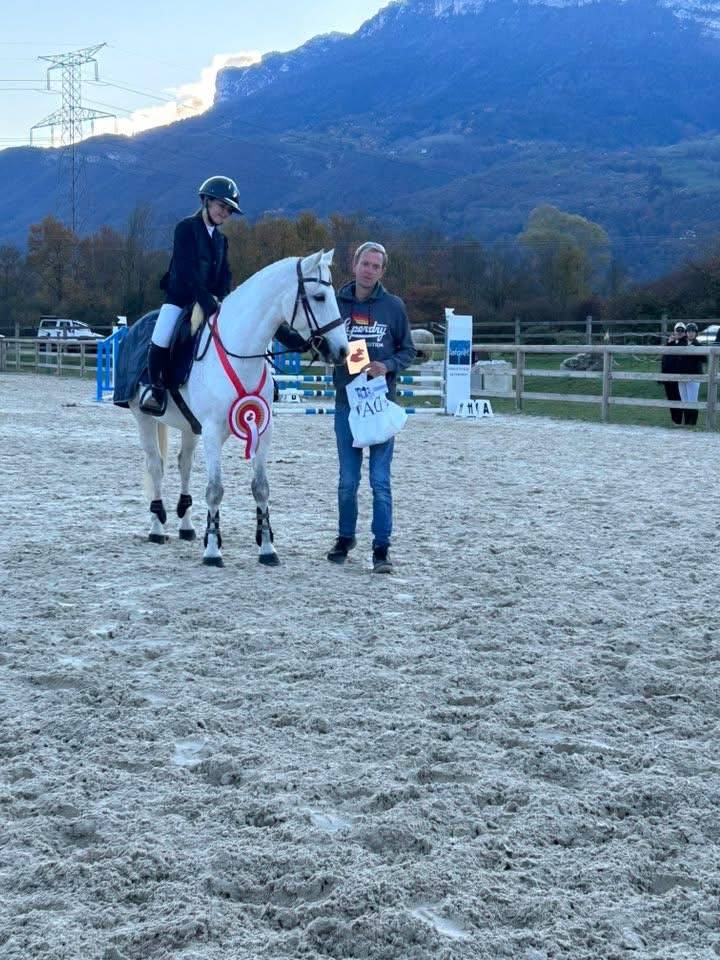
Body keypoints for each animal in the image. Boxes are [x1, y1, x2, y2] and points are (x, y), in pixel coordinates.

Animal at [124, 249, 349, 567]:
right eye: (319, 297)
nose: (342, 351)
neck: (241, 352)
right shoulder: (213, 431)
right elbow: (215, 490)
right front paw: (212, 551)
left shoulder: (262, 429)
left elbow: (261, 487)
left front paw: (267, 548)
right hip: (142, 416)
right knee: (156, 465)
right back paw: (157, 529)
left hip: (190, 427)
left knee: (184, 464)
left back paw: (186, 527)